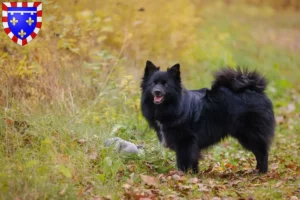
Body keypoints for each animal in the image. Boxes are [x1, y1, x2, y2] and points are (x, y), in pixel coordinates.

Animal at [142, 60, 276, 173]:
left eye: (166, 85)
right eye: (153, 83)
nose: (157, 91)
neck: (175, 106)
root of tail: (254, 89)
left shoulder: (185, 141)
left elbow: (183, 161)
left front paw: (181, 175)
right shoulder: (193, 144)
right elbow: (194, 160)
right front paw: (194, 174)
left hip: (250, 134)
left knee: (262, 153)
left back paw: (261, 172)